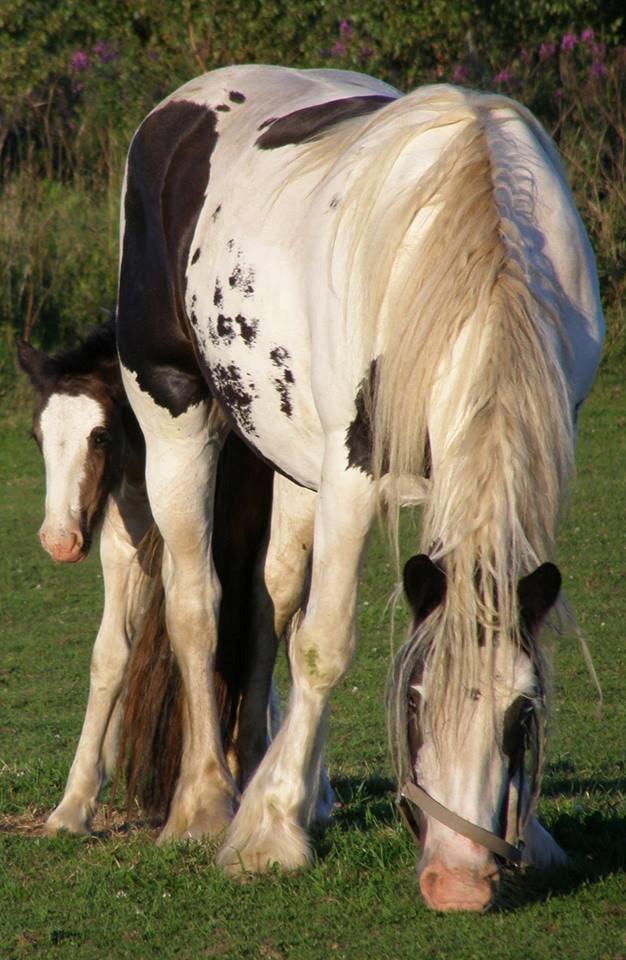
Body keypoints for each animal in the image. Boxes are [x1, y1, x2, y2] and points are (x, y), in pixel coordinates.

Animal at [116, 65, 600, 908]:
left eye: (521, 714)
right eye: (413, 700)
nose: (457, 882)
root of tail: (178, 108)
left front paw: (535, 835)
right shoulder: (351, 476)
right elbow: (323, 646)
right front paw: (269, 839)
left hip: (289, 459)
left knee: (268, 599)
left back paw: (265, 776)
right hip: (173, 418)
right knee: (197, 605)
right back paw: (208, 804)